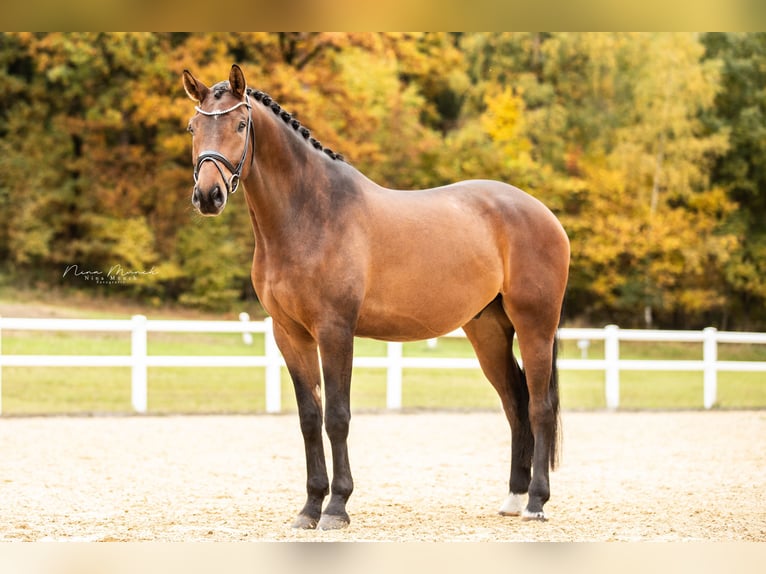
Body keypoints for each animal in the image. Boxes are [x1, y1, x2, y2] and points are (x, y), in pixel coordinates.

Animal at [182, 64, 570, 529]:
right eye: (193, 127)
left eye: (240, 124)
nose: (209, 196)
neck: (311, 212)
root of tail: (544, 214)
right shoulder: (289, 334)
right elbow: (309, 418)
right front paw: (310, 507)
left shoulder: (335, 331)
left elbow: (337, 417)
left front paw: (336, 507)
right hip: (489, 332)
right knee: (515, 404)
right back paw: (513, 497)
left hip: (535, 326)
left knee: (539, 406)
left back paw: (536, 502)